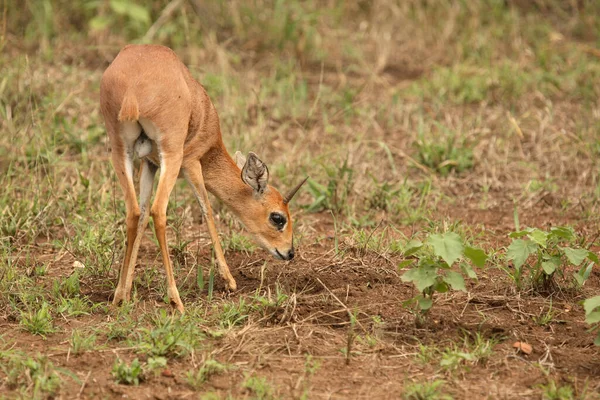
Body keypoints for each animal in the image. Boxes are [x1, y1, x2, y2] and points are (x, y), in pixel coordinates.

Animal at [99, 44, 308, 312]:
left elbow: (142, 214)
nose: (289, 252)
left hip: (119, 150)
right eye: (278, 217)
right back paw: (176, 299)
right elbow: (207, 210)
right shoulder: (191, 163)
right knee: (159, 211)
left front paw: (124, 291)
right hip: (172, 155)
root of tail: (133, 91)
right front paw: (229, 281)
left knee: (134, 212)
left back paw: (118, 297)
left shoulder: (149, 164)